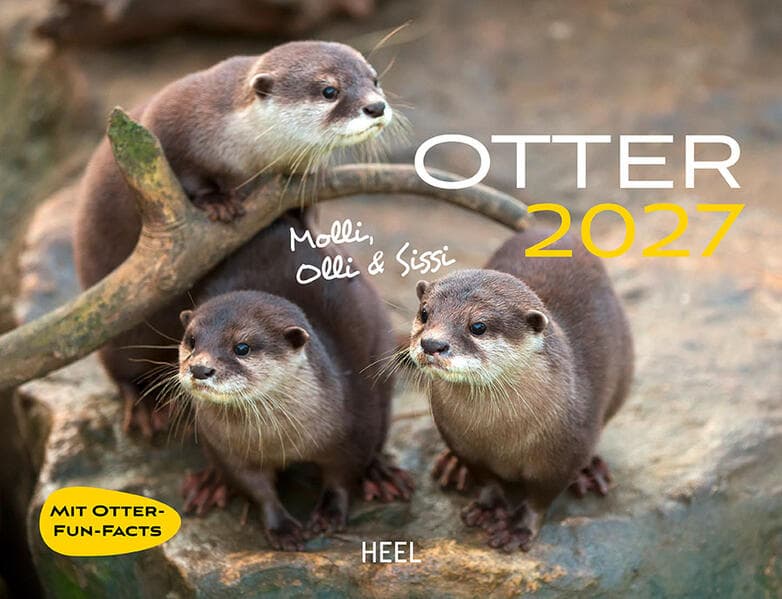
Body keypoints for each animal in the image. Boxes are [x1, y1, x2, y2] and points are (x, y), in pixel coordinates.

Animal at [74, 41, 393, 436]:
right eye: (329, 90)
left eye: (374, 80)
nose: (376, 106)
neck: (243, 150)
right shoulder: (170, 125)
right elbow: (189, 175)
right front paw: (218, 202)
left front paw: (307, 221)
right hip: (119, 330)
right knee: (123, 369)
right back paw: (145, 407)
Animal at [175, 216, 412, 551]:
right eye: (192, 341)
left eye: (242, 347)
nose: (199, 368)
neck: (281, 442)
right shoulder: (229, 450)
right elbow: (256, 488)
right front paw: (282, 527)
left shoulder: (356, 426)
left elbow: (343, 475)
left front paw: (329, 514)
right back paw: (209, 483)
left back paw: (382, 476)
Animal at [408, 227, 633, 552]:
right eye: (425, 313)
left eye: (478, 326)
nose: (432, 343)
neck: (500, 436)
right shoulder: (463, 443)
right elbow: (486, 479)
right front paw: (487, 507)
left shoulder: (563, 455)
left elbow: (541, 497)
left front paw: (518, 528)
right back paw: (452, 466)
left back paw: (591, 470)